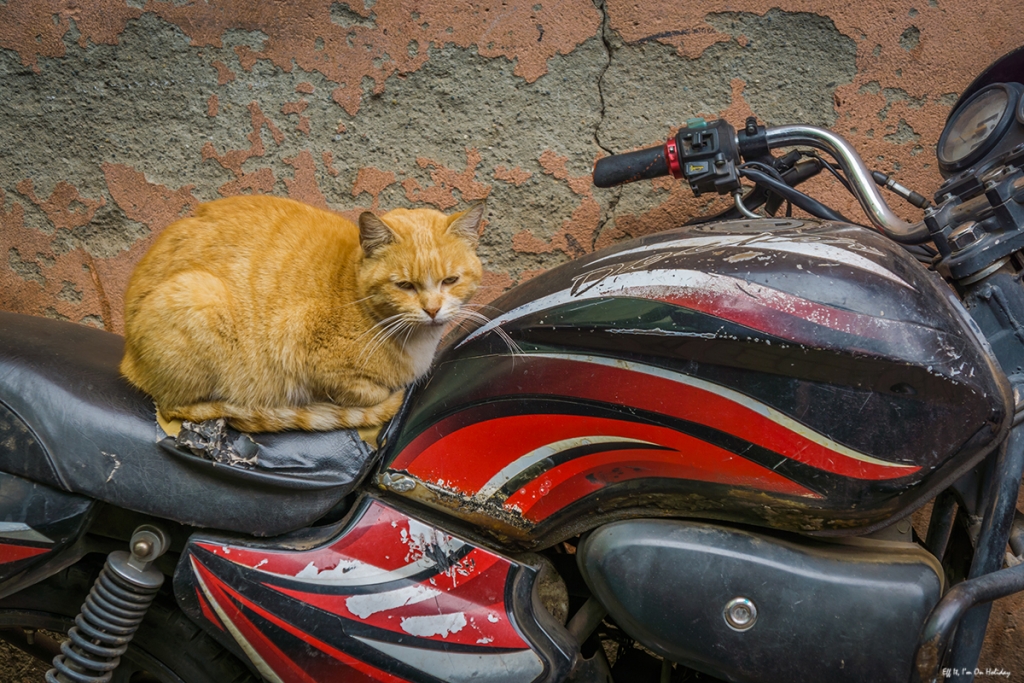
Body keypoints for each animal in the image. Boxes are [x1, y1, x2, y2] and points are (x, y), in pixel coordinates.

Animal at [120, 196, 483, 432]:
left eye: (450, 281)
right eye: (405, 286)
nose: (432, 309)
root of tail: (127, 360)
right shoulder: (297, 343)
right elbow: (371, 393)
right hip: (199, 295)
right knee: (175, 407)